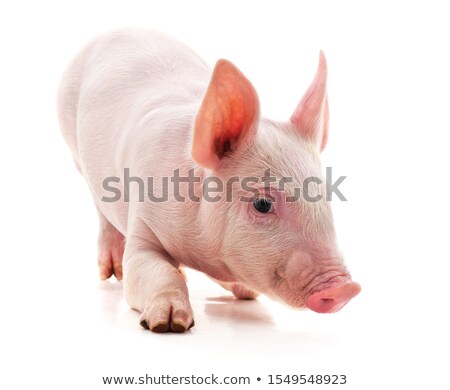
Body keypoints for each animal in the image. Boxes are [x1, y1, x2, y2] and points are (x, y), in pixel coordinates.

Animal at [59, 29, 362, 332]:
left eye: (325, 196)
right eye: (262, 204)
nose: (345, 289)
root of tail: (119, 31)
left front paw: (242, 291)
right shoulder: (143, 221)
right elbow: (152, 270)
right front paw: (169, 323)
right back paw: (113, 272)